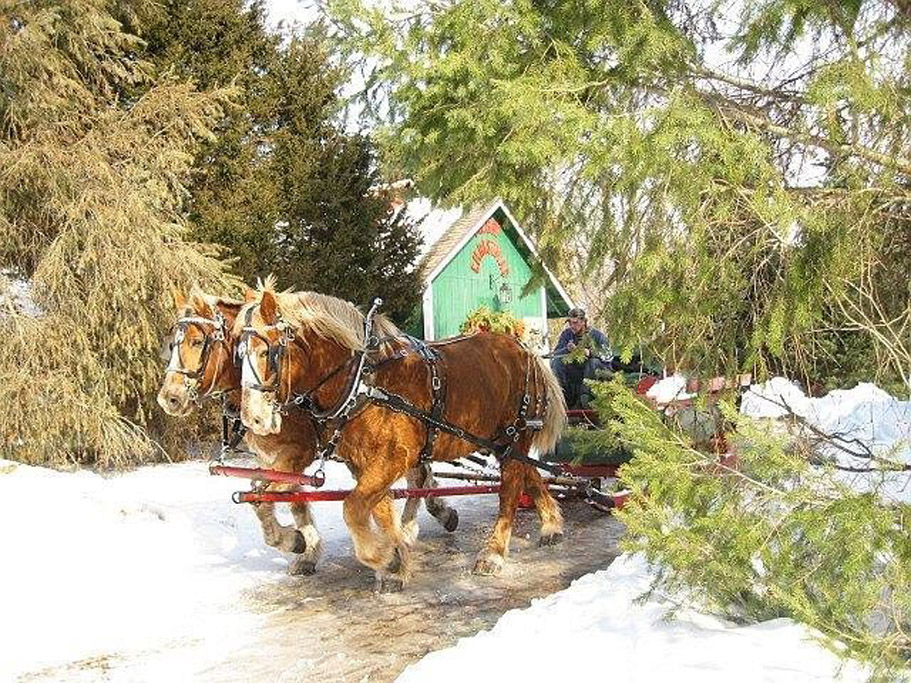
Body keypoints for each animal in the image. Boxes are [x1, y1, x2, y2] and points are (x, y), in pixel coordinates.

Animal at [157, 288, 460, 576]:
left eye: (197, 342)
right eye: (173, 343)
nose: (168, 398)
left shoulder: (297, 451)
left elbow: (277, 497)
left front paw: (300, 543)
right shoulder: (271, 459)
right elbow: (278, 497)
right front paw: (303, 546)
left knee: (416, 476)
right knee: (418, 474)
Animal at [237, 280, 564, 592]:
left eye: (267, 352)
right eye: (238, 354)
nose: (253, 418)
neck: (365, 379)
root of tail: (523, 349)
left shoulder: (393, 457)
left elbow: (353, 508)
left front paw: (386, 558)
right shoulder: (362, 462)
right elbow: (372, 508)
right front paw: (393, 559)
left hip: (515, 435)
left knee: (510, 488)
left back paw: (493, 553)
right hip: (500, 441)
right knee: (529, 473)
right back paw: (551, 526)